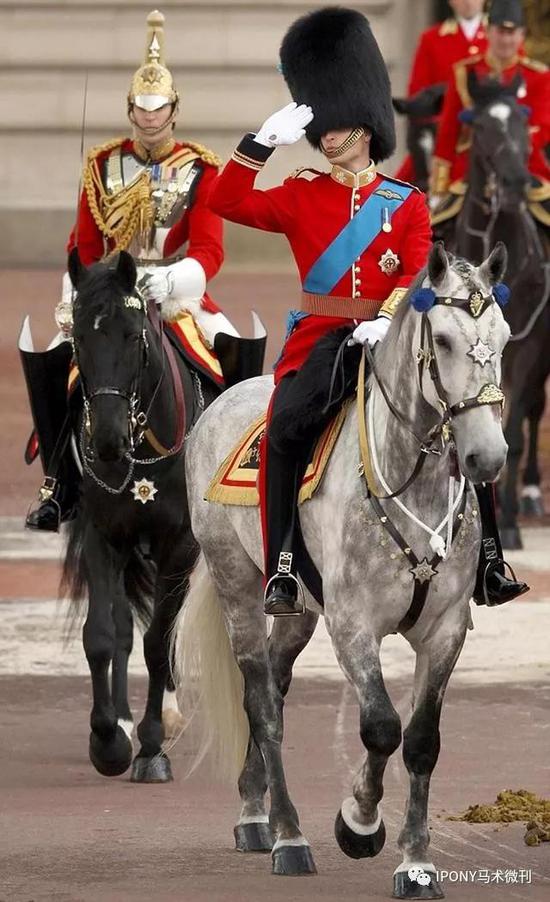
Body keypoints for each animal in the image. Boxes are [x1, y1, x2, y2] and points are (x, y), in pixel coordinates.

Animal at [61, 248, 219, 782]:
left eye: (133, 335)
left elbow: (157, 642)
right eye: (79, 337)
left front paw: (151, 748)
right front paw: (108, 741)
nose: (108, 442)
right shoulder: (102, 535)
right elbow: (102, 636)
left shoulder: (180, 543)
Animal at [172, 242, 510, 898]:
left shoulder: (445, 631)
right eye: (444, 340)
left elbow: (421, 741)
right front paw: (358, 824)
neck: (412, 479)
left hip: (298, 609)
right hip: (237, 586)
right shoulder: (353, 626)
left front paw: (416, 862)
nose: (487, 457)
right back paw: (288, 836)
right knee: (262, 703)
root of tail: (224, 399)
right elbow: (381, 726)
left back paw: (255, 811)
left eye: (504, 339)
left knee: (276, 687)